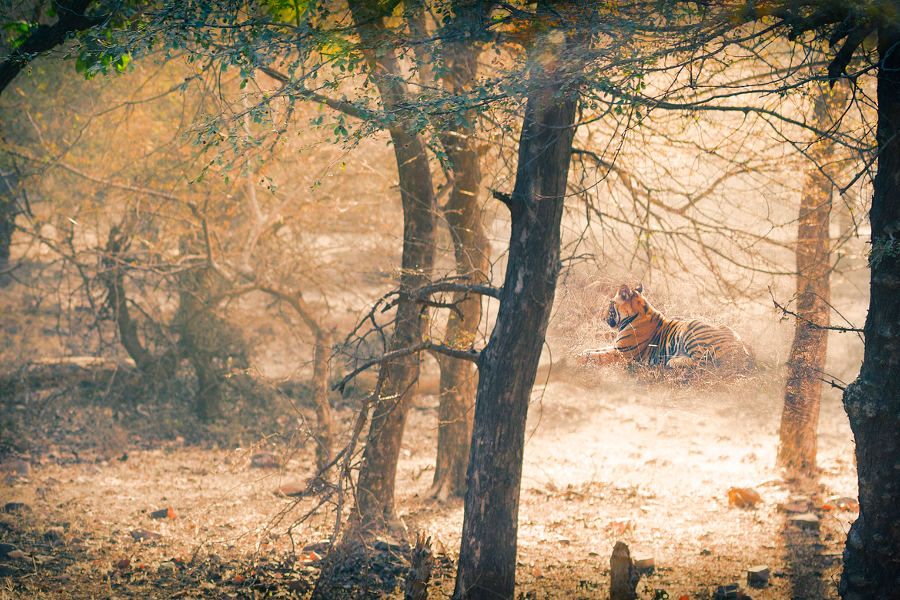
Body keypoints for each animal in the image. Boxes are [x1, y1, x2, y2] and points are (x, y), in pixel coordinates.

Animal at [578, 284, 754, 372]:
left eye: (610, 304)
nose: (603, 317)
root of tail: (744, 349)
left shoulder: (622, 354)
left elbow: (598, 356)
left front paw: (578, 357)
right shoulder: (617, 347)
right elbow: (595, 350)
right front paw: (582, 351)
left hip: (692, 328)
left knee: (703, 363)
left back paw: (673, 361)